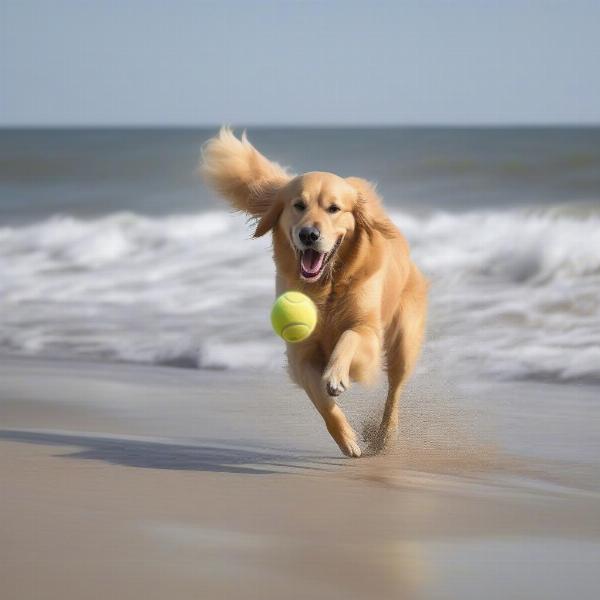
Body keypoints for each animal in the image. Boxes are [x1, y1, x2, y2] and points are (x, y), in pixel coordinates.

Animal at [202, 126, 426, 454]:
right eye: (299, 205)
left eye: (334, 209)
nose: (308, 234)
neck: (327, 287)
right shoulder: (300, 355)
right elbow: (322, 402)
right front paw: (346, 439)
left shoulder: (367, 332)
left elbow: (348, 338)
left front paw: (336, 375)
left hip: (404, 340)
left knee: (395, 389)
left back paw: (384, 435)